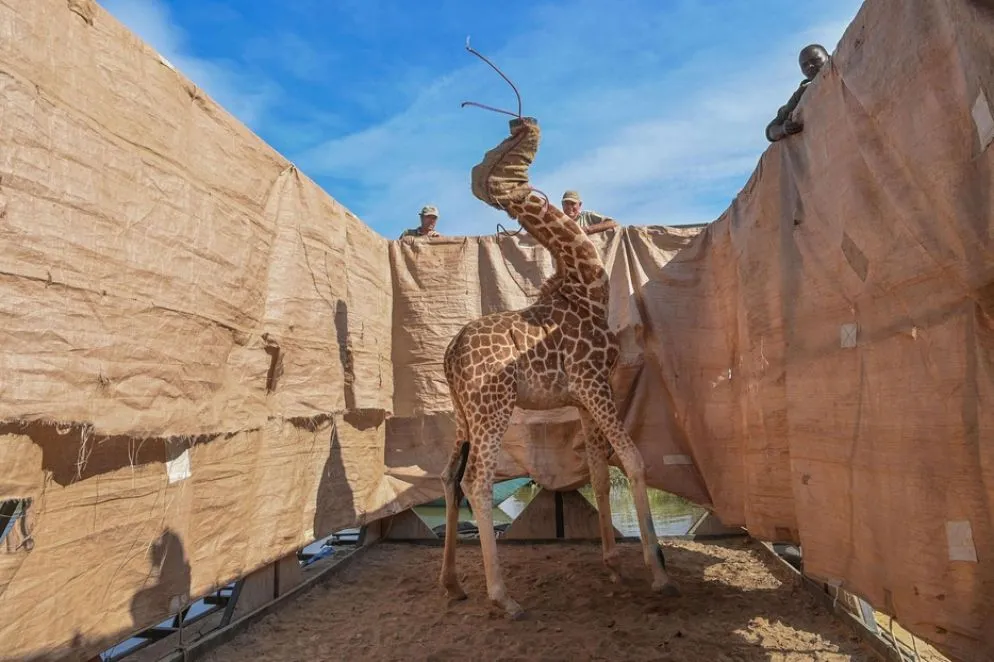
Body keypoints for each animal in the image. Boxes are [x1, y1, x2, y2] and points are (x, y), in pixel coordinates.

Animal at [438, 115, 681, 619]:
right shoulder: (594, 383)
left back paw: (452, 584)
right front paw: (659, 572)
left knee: (449, 477)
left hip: (462, 415)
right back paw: (503, 597)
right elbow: (634, 459)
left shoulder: (586, 396)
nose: (525, 122)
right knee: (477, 482)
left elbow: (601, 474)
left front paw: (613, 565)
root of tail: (449, 354)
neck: (586, 287)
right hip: (493, 409)